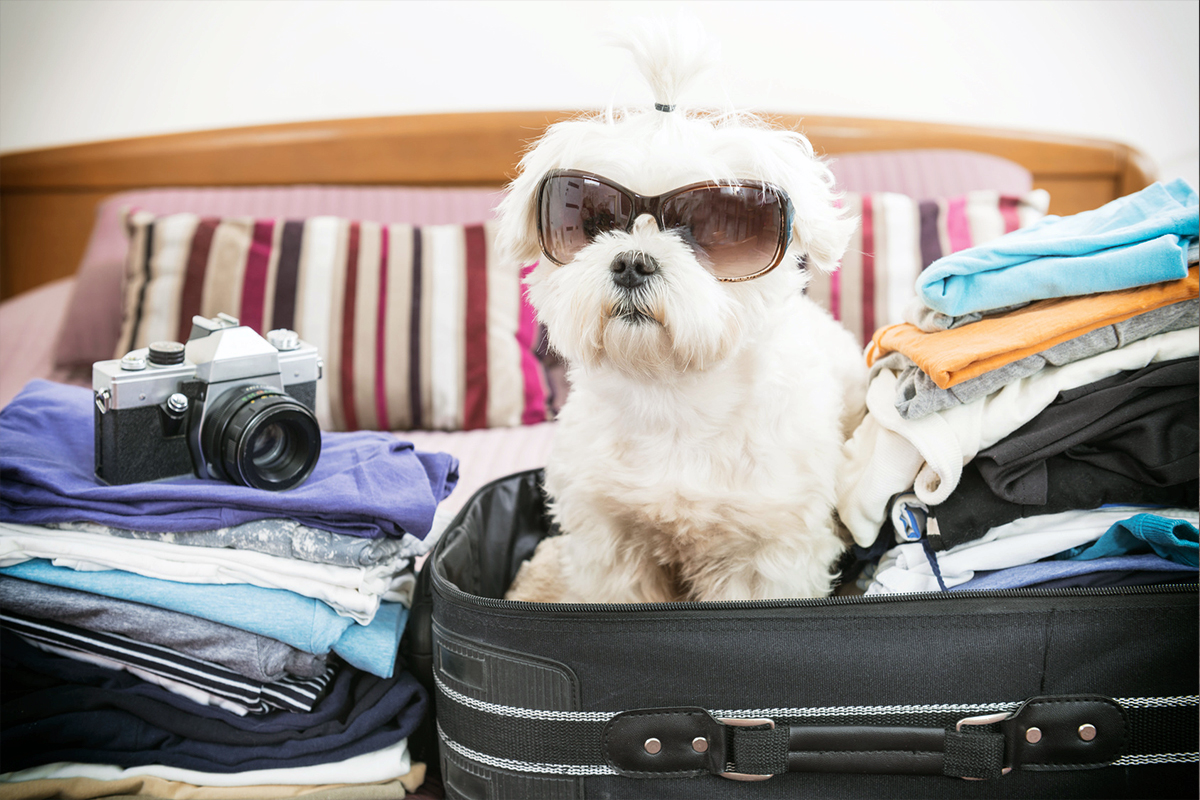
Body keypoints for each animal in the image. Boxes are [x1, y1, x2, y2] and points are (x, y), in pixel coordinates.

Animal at [492, 18, 868, 604]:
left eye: (715, 226)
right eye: (594, 222)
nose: (631, 263)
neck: (673, 399)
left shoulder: (765, 551)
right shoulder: (611, 542)